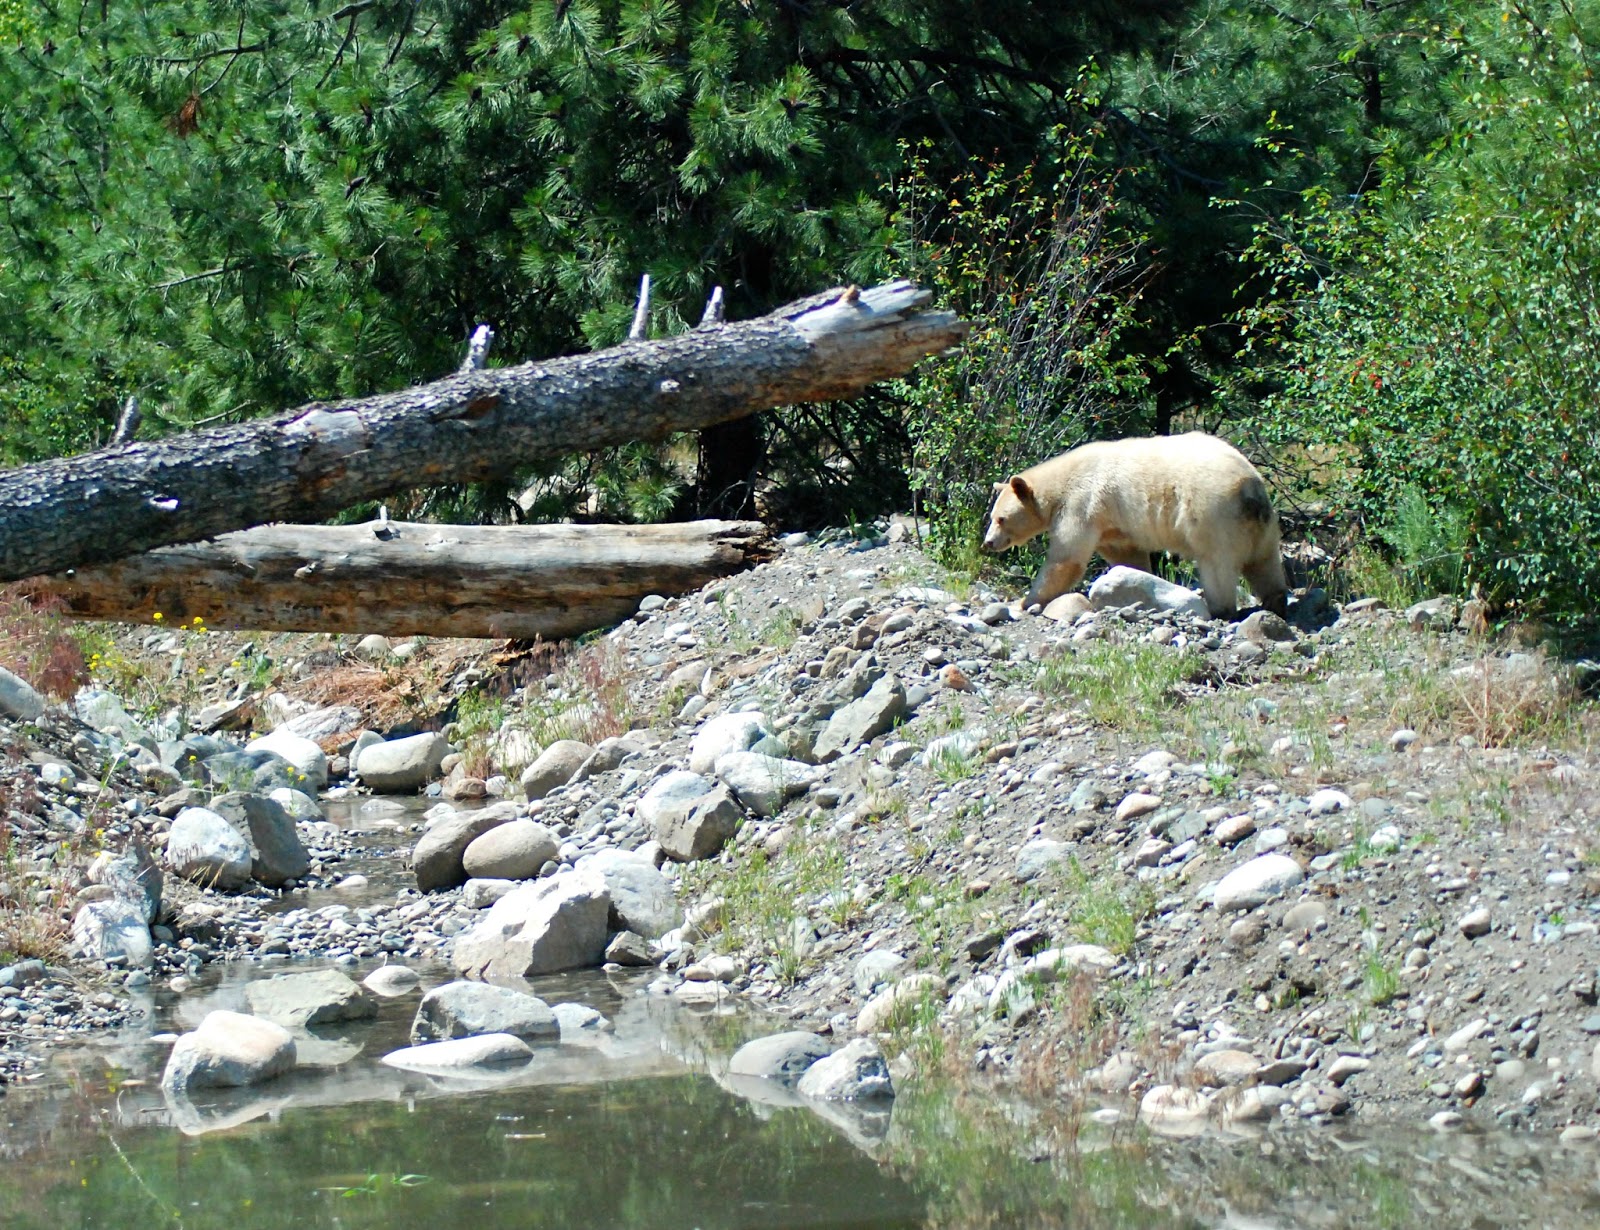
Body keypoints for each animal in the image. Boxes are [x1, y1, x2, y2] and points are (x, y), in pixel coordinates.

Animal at [981, 431, 1288, 620]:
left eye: (1001, 518)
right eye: (992, 517)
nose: (988, 542)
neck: (1059, 484)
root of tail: (1250, 489)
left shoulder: (1081, 503)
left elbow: (1066, 558)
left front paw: (1024, 601)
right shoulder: (1110, 520)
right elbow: (1126, 554)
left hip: (1212, 514)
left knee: (1216, 563)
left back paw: (1220, 608)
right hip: (1261, 524)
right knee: (1264, 562)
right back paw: (1275, 600)